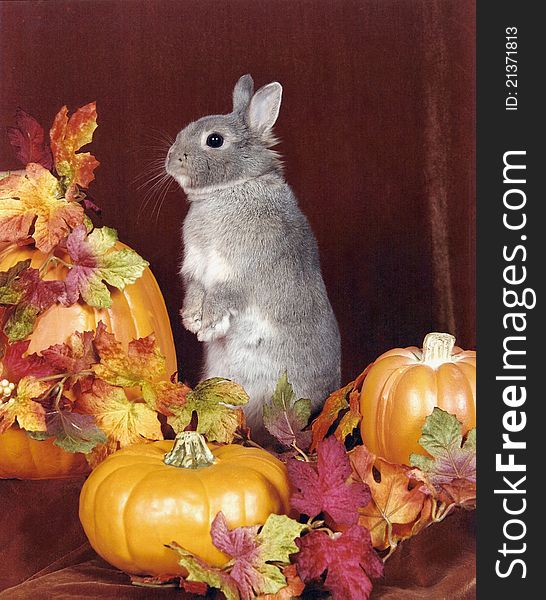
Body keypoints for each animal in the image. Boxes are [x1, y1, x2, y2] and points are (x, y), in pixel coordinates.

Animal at [164, 75, 338, 436]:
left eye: (214, 140)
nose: (172, 158)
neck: (231, 188)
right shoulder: (196, 270)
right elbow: (195, 292)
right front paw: (191, 320)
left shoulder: (237, 274)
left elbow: (222, 297)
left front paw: (207, 327)